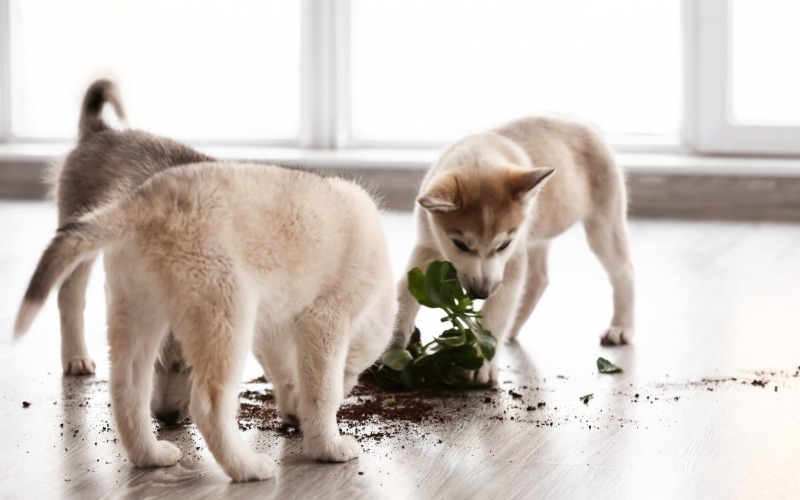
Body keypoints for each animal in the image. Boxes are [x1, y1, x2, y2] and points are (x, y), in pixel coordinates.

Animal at [14, 162, 396, 482]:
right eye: (352, 371)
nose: (293, 421)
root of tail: (144, 201)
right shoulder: (325, 319)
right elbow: (322, 392)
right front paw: (327, 447)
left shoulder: (274, 328)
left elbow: (290, 377)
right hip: (225, 316)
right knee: (209, 407)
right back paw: (247, 468)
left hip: (137, 312)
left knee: (127, 391)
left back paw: (150, 456)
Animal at [47, 80, 209, 424]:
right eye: (154, 363)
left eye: (187, 367)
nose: (165, 417)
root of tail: (99, 131)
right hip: (80, 235)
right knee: (69, 298)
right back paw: (76, 356)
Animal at [392, 116, 632, 382]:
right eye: (461, 245)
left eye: (503, 245)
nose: (481, 293)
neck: (480, 152)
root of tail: (584, 125)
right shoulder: (426, 247)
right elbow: (405, 289)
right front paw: (394, 339)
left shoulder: (512, 260)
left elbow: (497, 311)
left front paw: (482, 362)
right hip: (538, 234)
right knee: (539, 279)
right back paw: (514, 328)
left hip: (603, 226)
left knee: (623, 272)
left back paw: (620, 327)